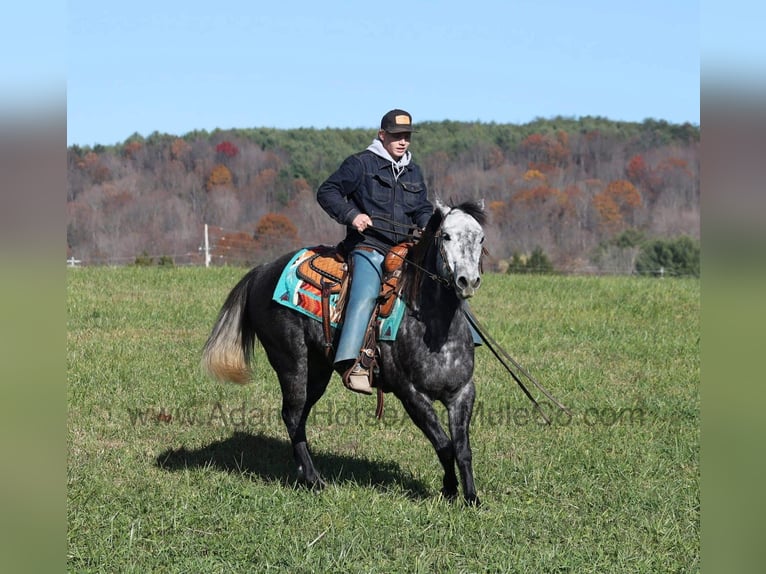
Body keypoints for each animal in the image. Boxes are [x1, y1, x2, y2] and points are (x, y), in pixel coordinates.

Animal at [202, 198, 486, 505]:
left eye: (481, 238)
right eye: (446, 236)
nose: (468, 281)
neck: (432, 326)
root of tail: (263, 270)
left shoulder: (462, 392)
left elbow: (462, 449)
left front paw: (471, 497)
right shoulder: (411, 394)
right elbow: (444, 444)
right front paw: (449, 490)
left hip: (317, 372)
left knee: (299, 418)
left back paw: (304, 474)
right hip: (291, 363)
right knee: (292, 414)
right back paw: (314, 480)